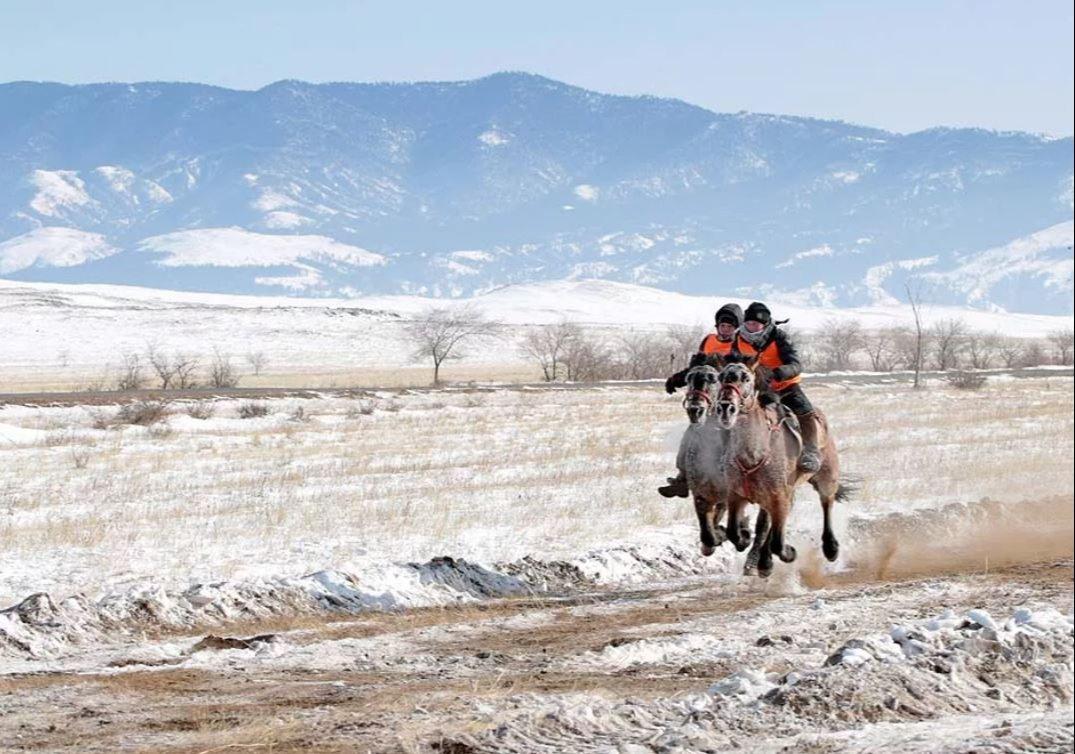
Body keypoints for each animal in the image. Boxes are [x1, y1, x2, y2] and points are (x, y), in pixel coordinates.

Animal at [713, 354, 847, 572]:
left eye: (746, 378)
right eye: (721, 377)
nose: (726, 407)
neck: (753, 453)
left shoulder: (778, 494)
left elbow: (776, 541)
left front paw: (788, 552)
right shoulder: (736, 494)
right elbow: (734, 531)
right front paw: (743, 538)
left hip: (826, 476)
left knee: (826, 503)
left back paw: (830, 548)